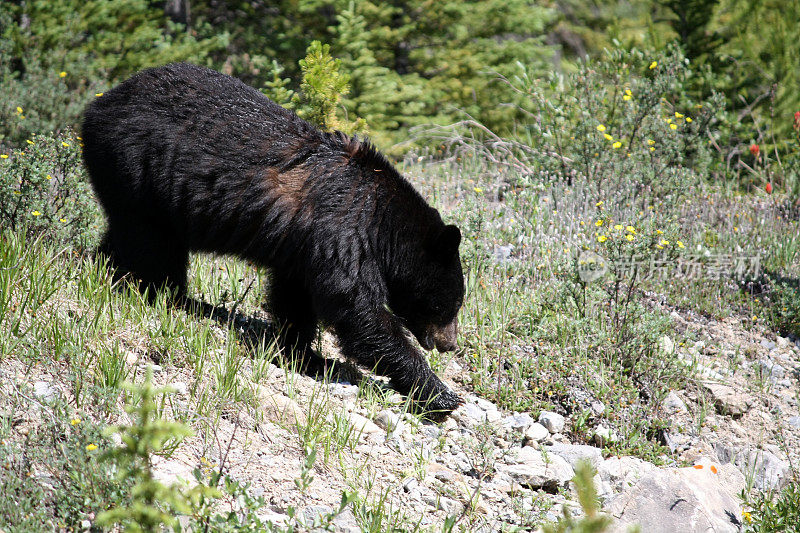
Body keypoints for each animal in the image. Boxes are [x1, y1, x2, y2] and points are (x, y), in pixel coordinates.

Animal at [81, 62, 462, 418]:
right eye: (450, 305)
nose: (450, 344)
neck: (382, 221)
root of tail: (101, 101)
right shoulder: (343, 226)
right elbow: (357, 308)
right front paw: (439, 394)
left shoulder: (305, 245)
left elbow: (295, 296)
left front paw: (304, 354)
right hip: (138, 164)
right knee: (152, 242)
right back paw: (163, 293)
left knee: (128, 234)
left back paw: (107, 270)